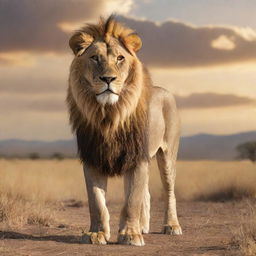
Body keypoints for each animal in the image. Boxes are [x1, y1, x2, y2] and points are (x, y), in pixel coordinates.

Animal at [66, 15, 182, 246]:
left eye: (120, 58)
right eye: (94, 58)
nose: (108, 79)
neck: (109, 115)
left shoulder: (136, 158)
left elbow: (131, 201)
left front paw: (130, 235)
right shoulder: (92, 158)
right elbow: (96, 202)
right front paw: (96, 234)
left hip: (167, 155)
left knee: (169, 192)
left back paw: (171, 226)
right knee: (146, 192)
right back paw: (143, 226)